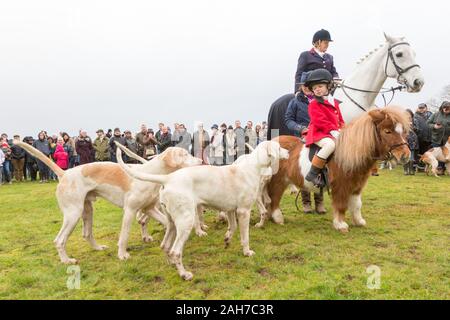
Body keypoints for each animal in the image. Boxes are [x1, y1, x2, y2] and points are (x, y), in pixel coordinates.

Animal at [264, 107, 412, 232]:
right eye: (387, 131)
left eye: (403, 131)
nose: (405, 155)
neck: (350, 153)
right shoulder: (341, 186)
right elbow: (341, 205)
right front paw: (340, 225)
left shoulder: (357, 187)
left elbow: (357, 204)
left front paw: (359, 221)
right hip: (278, 180)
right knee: (275, 198)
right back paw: (278, 218)